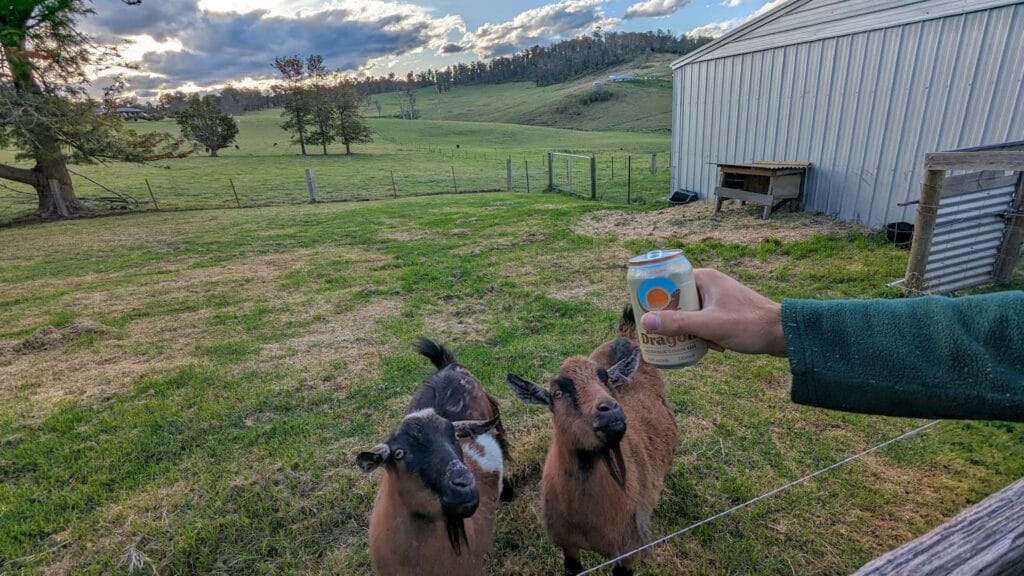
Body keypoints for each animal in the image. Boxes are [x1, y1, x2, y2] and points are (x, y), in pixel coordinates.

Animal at [506, 309, 677, 576]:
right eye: (557, 393)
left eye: (606, 379)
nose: (611, 410)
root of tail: (625, 336)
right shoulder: (567, 544)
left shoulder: (627, 552)